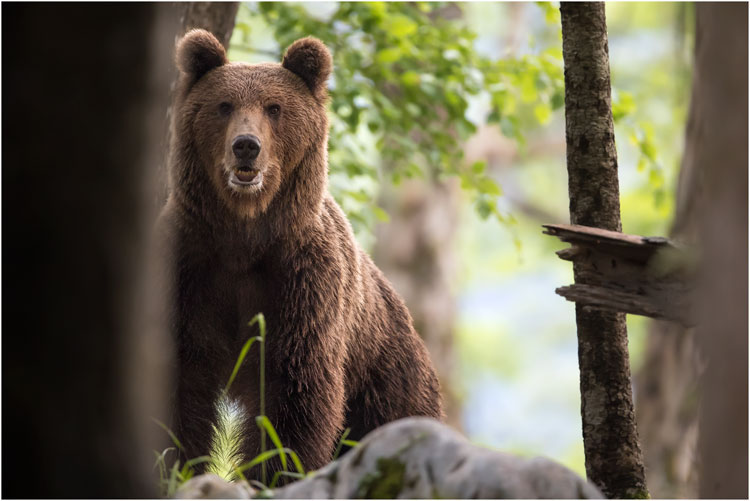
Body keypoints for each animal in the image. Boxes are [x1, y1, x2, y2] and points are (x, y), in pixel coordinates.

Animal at [158, 29, 443, 480]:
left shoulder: (302, 279)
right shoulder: (191, 267)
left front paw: (273, 472)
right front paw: (178, 467)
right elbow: (182, 380)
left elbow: (293, 388)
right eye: (224, 105)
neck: (243, 235)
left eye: (274, 108)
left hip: (384, 373)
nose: (246, 146)